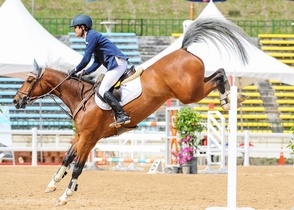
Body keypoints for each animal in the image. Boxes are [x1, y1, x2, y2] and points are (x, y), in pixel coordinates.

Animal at [12, 18, 253, 205]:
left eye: (29, 80)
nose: (16, 101)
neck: (81, 98)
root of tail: (183, 49)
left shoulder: (89, 138)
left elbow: (78, 166)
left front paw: (66, 195)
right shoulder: (81, 136)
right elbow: (66, 159)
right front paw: (52, 184)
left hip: (189, 93)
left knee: (219, 75)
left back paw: (228, 99)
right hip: (192, 87)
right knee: (217, 73)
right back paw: (230, 97)